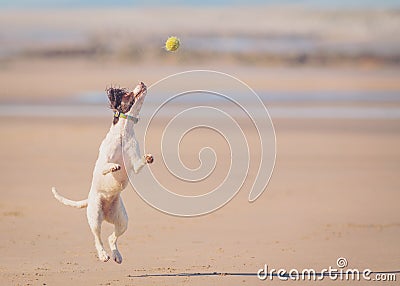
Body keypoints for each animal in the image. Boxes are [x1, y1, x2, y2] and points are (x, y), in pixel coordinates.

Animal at [52, 81, 152, 264]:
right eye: (127, 94)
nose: (141, 83)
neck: (123, 134)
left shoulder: (135, 164)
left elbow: (140, 162)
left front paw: (148, 158)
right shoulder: (102, 162)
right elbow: (106, 166)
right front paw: (113, 167)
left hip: (122, 221)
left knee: (111, 238)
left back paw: (116, 255)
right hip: (95, 217)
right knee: (97, 238)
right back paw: (103, 255)